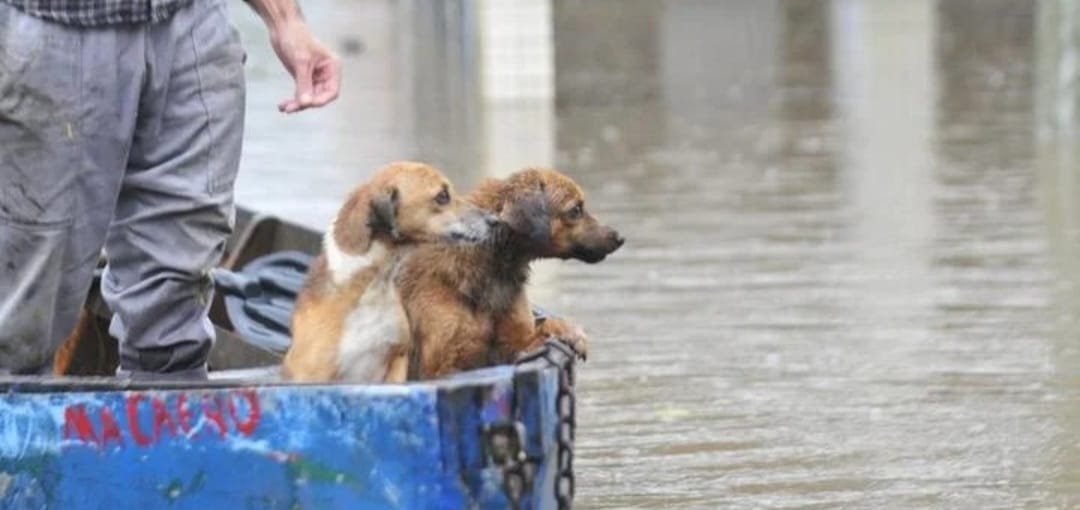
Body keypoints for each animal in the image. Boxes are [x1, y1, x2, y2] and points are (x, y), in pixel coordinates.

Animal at [399, 167, 626, 378]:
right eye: (575, 209)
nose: (619, 237)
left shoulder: (516, 340)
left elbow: (541, 331)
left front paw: (569, 332)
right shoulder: (441, 365)